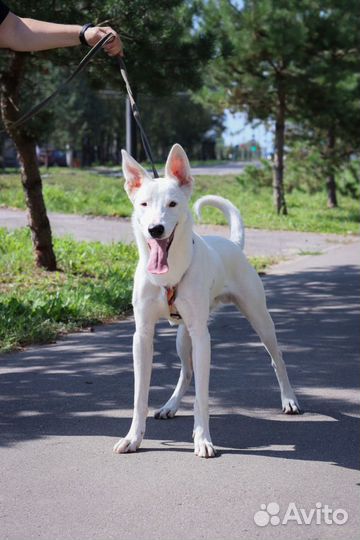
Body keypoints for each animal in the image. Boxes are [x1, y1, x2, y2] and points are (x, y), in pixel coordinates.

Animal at [114, 142, 300, 456]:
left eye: (173, 204)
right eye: (144, 205)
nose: (155, 229)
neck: (169, 273)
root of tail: (232, 244)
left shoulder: (203, 337)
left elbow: (202, 397)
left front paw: (202, 439)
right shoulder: (142, 336)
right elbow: (140, 395)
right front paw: (133, 437)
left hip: (259, 319)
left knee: (278, 359)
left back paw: (289, 399)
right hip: (183, 336)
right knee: (186, 372)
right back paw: (171, 405)